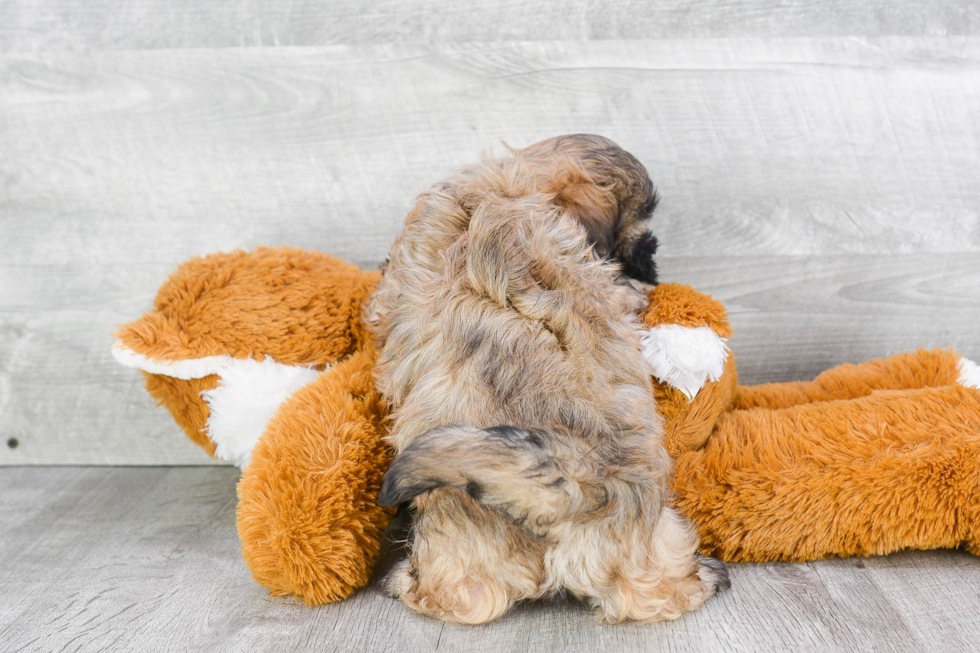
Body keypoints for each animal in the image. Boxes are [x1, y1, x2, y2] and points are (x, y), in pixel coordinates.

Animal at [364, 131, 724, 620]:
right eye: (634, 232)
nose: (651, 256)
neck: (504, 190)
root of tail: (576, 489)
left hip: (463, 553)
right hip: (636, 549)